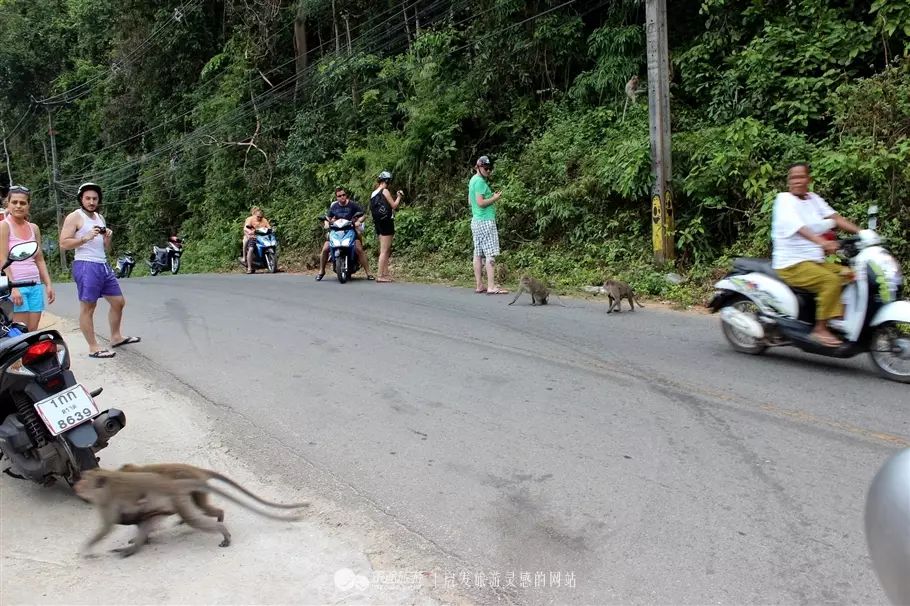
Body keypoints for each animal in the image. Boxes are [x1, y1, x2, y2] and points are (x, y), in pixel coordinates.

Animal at [72, 470, 306, 560]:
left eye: (84, 480)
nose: (76, 485)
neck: (105, 485)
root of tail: (174, 484)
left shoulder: (107, 503)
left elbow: (106, 528)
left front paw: (87, 549)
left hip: (179, 501)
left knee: (193, 520)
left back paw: (223, 531)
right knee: (146, 519)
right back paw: (134, 548)